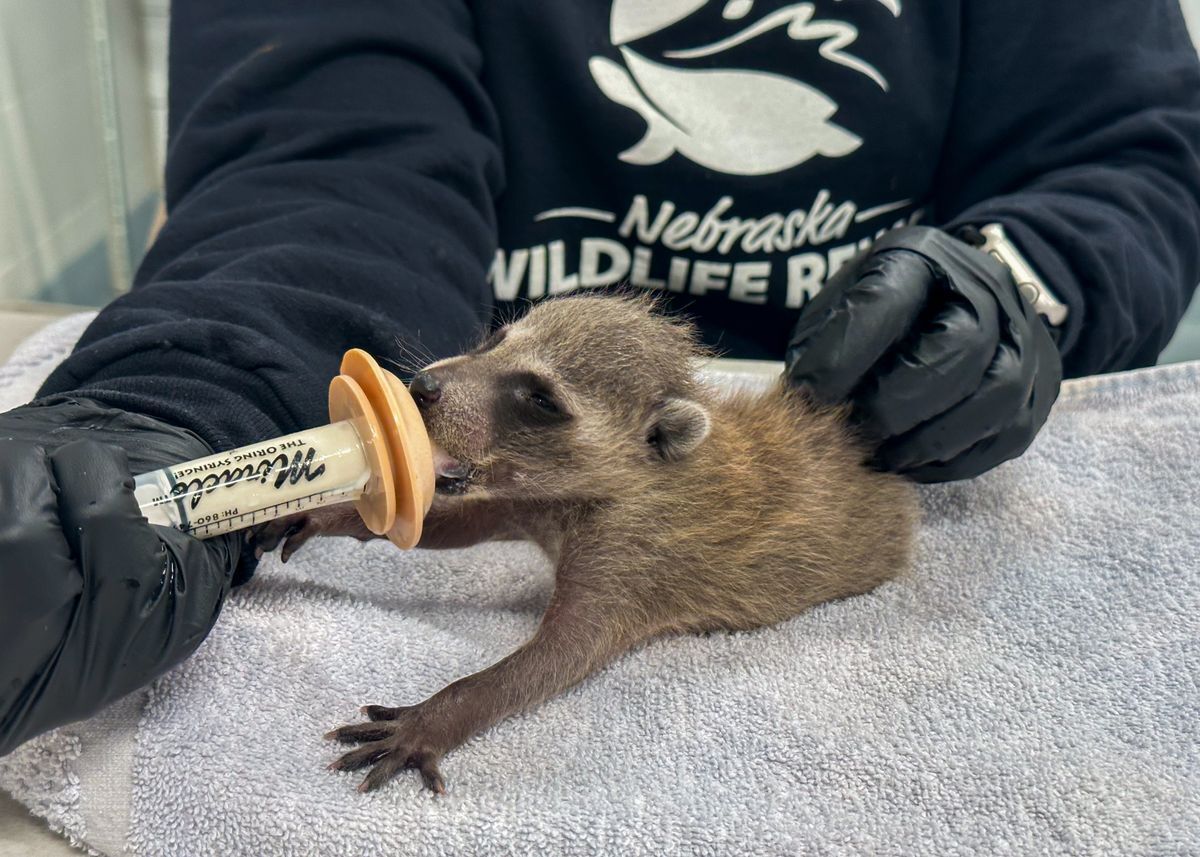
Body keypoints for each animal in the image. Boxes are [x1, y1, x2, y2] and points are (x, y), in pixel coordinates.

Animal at [250, 290, 907, 792]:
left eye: (540, 398)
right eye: (496, 339)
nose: (422, 386)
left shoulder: (637, 549)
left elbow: (556, 659)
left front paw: (438, 715)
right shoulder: (529, 498)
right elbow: (461, 522)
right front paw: (334, 509)